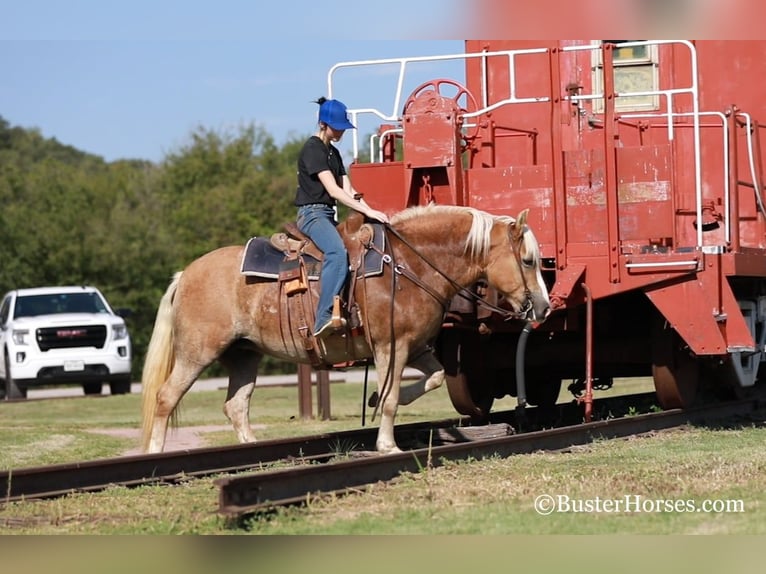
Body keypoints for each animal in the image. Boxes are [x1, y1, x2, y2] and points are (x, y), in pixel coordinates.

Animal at [141, 205, 552, 456]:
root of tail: (185, 274)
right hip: (197, 353)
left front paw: (377, 402)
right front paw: (387, 444)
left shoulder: (417, 348)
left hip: (243, 355)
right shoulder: (391, 346)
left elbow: (431, 379)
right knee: (166, 398)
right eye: (528, 260)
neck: (411, 264)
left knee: (236, 406)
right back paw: (154, 455)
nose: (544, 306)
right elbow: (390, 397)